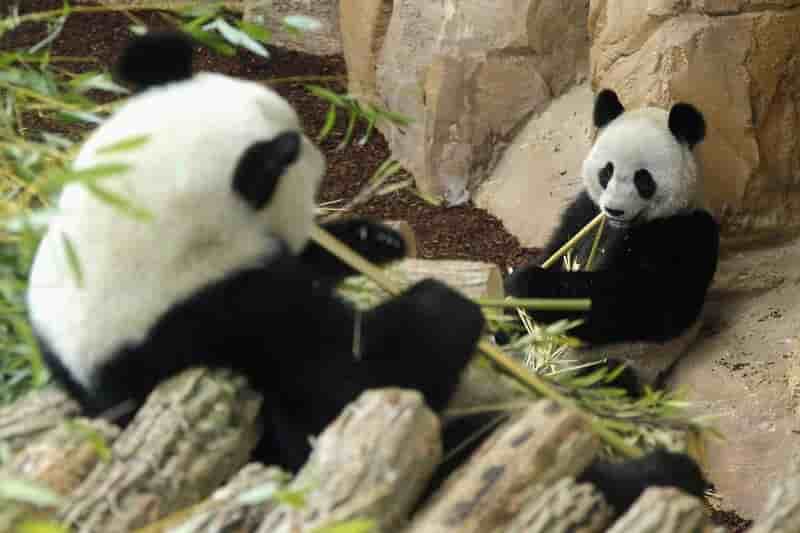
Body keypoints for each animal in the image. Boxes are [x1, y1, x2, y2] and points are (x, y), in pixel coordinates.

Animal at [504, 88, 720, 387]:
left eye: (644, 179)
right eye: (607, 171)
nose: (614, 209)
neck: (623, 227)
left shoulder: (685, 232)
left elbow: (641, 304)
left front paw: (530, 285)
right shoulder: (585, 212)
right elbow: (557, 248)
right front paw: (509, 299)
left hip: (622, 363)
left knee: (607, 378)